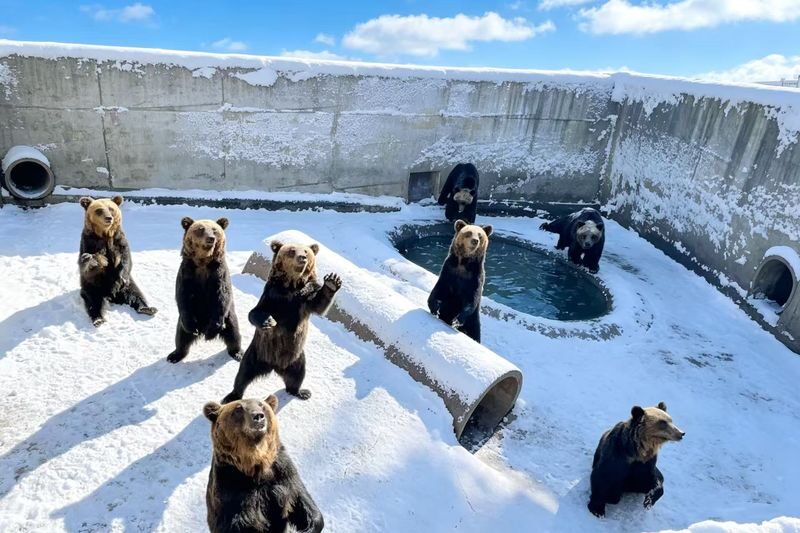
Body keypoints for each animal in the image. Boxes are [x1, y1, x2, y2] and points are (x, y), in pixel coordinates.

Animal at [78, 195, 157, 326]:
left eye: (111, 208)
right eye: (99, 210)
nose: (108, 218)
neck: (105, 235)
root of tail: (112, 296)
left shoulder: (119, 240)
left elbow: (125, 259)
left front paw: (122, 276)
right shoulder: (89, 242)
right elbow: (89, 266)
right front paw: (90, 259)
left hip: (127, 285)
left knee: (135, 294)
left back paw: (147, 308)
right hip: (92, 286)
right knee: (93, 301)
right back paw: (98, 319)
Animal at [167, 217, 242, 364]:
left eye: (215, 230)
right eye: (200, 229)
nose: (210, 238)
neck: (203, 262)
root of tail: (202, 328)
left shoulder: (218, 273)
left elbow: (222, 295)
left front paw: (212, 331)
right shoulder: (187, 272)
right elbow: (182, 294)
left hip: (228, 317)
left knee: (234, 333)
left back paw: (237, 353)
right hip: (186, 320)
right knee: (181, 336)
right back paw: (175, 355)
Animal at [204, 395, 324, 533]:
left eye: (261, 405)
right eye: (238, 408)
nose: (258, 416)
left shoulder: (282, 472)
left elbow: (301, 498)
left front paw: (310, 526)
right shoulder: (230, 487)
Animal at [222, 240, 342, 403]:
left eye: (306, 251)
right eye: (292, 250)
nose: (302, 258)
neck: (291, 287)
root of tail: (274, 366)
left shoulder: (303, 302)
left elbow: (320, 305)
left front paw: (332, 282)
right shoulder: (272, 296)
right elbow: (255, 312)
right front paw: (268, 321)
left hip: (296, 357)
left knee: (297, 375)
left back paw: (301, 392)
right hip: (257, 352)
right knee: (244, 373)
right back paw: (232, 395)